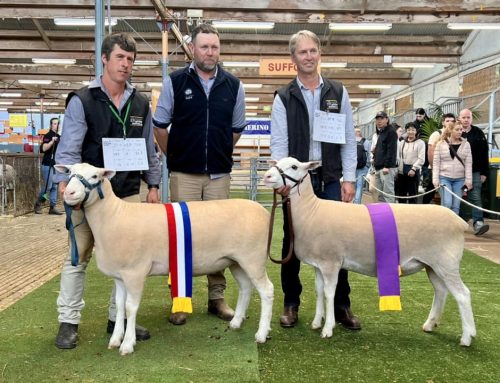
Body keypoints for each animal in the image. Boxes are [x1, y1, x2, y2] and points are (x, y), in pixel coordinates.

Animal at [57, 163, 276, 356]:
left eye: (95, 176)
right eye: (69, 173)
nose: (69, 194)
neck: (113, 215)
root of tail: (265, 212)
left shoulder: (135, 272)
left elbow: (130, 307)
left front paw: (127, 344)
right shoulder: (119, 276)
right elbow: (119, 306)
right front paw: (115, 339)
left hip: (253, 258)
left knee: (267, 291)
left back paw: (261, 334)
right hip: (236, 261)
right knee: (246, 288)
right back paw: (236, 322)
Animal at [264, 158, 474, 346]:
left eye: (294, 166)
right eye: (277, 163)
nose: (267, 175)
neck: (311, 210)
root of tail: (460, 222)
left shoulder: (331, 262)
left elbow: (329, 294)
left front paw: (327, 329)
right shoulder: (319, 264)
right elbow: (319, 291)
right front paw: (317, 322)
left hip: (447, 263)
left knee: (463, 295)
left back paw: (467, 337)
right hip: (432, 265)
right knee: (441, 291)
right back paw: (430, 325)